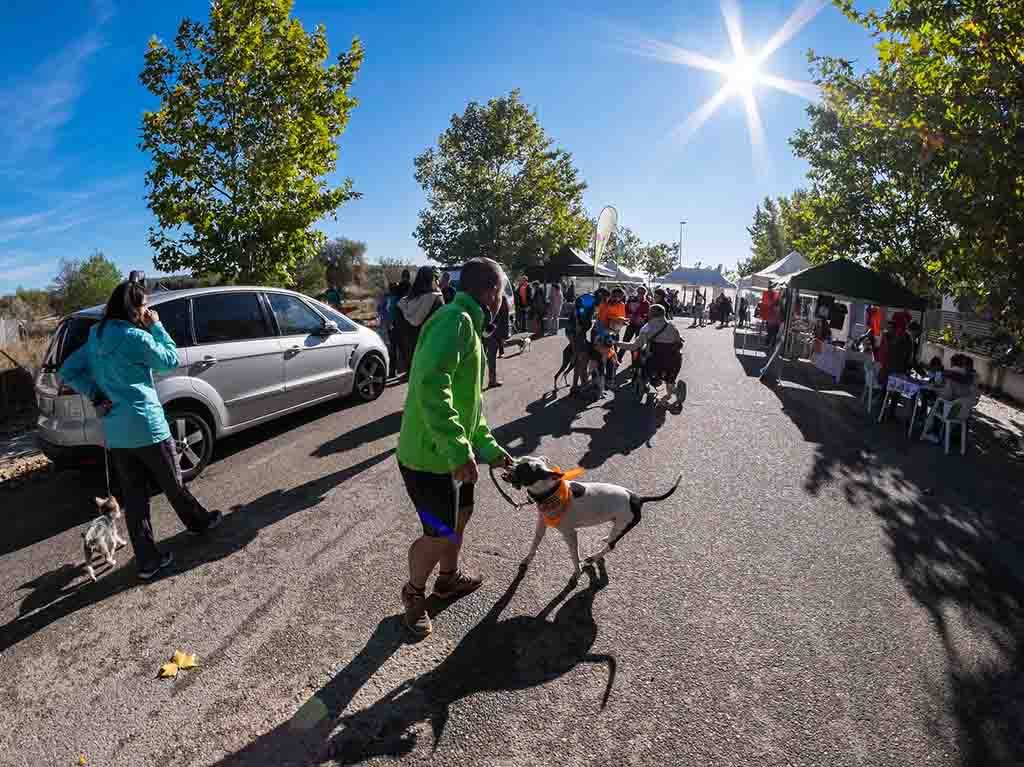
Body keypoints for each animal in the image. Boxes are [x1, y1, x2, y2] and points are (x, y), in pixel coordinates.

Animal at [501, 454, 679, 581]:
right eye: (517, 460)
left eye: (524, 469)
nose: (508, 462)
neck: (550, 492)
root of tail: (637, 498)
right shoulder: (541, 525)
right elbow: (534, 544)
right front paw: (527, 559)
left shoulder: (571, 534)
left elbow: (574, 556)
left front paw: (577, 572)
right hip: (618, 524)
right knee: (611, 539)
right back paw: (605, 540)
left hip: (622, 524)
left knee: (611, 546)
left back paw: (594, 557)